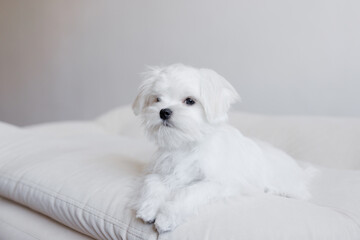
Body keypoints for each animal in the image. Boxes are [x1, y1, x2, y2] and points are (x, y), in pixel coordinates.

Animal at [131, 63, 314, 232]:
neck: (187, 145)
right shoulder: (161, 171)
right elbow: (153, 183)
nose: (163, 112)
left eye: (190, 101)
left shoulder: (218, 183)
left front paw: (167, 217)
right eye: (157, 99)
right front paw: (149, 208)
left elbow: (189, 193)